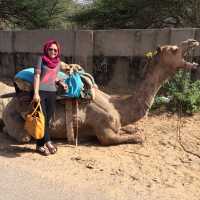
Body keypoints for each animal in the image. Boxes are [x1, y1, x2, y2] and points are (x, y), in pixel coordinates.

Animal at [0, 38, 199, 145]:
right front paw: (138, 136)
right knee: (23, 136)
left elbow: (128, 128)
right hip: (15, 118)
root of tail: (8, 104)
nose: (193, 41)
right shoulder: (105, 131)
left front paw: (133, 128)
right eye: (174, 49)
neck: (118, 107)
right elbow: (131, 137)